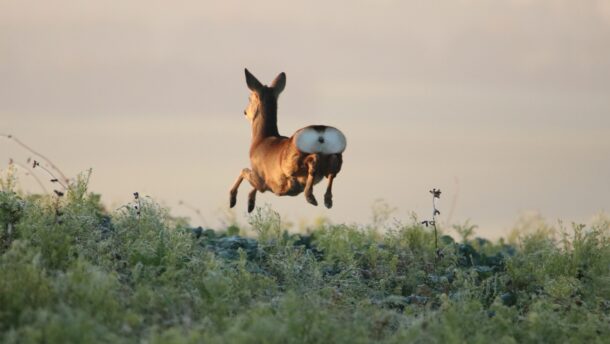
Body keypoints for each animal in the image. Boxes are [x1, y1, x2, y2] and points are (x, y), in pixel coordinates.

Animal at [228, 68, 344, 211]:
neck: (259, 140)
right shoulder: (263, 183)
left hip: (292, 161)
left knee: (313, 161)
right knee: (332, 169)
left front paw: (233, 200)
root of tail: (320, 132)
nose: (244, 112)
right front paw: (250, 203)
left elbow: (243, 171)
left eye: (249, 98)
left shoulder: (262, 180)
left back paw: (310, 196)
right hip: (336, 155)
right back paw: (327, 200)